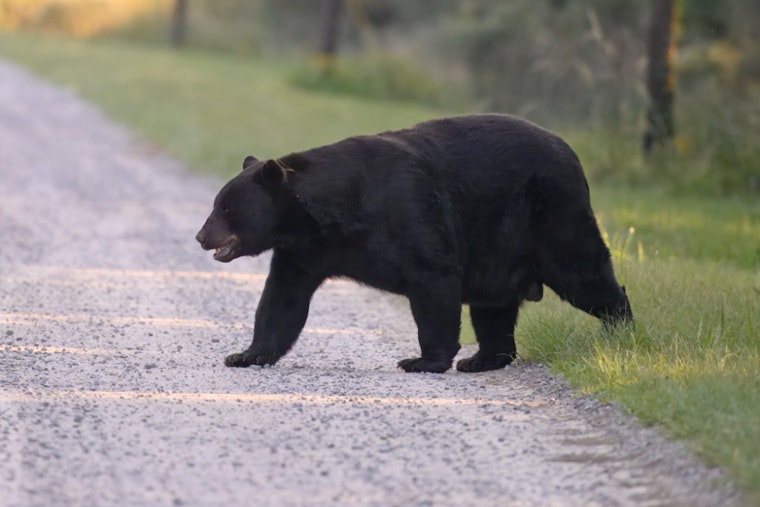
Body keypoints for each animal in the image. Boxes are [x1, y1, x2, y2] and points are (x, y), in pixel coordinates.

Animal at [195, 114, 633, 373]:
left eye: (227, 207)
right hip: (501, 251)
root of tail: (571, 154)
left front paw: (423, 360)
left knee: (584, 273)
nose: (201, 236)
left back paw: (621, 328)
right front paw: (245, 354)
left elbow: (433, 279)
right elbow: (281, 301)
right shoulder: (302, 254)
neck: (325, 217)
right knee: (493, 307)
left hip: (552, 216)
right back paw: (482, 359)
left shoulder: (409, 216)